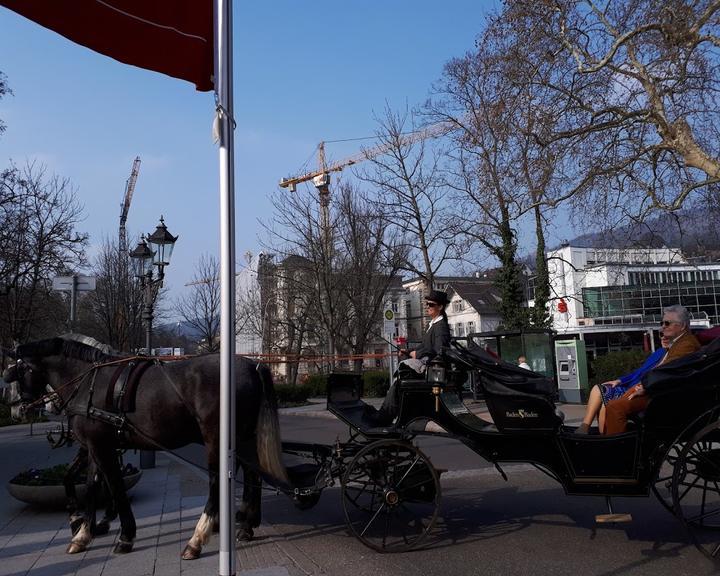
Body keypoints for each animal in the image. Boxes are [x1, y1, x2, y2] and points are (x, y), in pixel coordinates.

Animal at [8, 338, 288, 560]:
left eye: (15, 373)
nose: (16, 410)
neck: (88, 381)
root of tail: (253, 365)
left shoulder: (101, 447)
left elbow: (115, 487)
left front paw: (124, 536)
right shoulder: (95, 446)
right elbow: (88, 486)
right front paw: (82, 530)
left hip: (218, 439)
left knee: (218, 481)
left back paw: (197, 539)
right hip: (244, 438)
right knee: (253, 475)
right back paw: (247, 525)